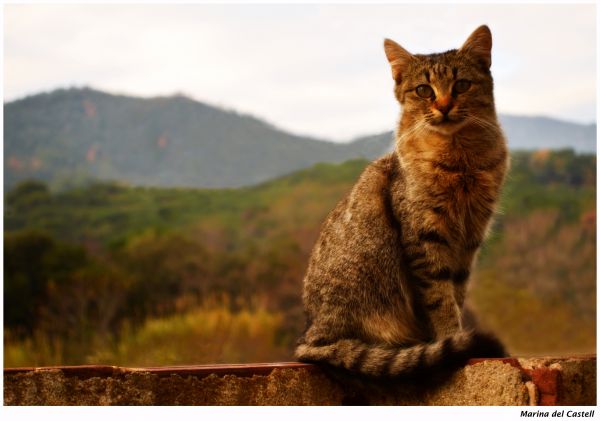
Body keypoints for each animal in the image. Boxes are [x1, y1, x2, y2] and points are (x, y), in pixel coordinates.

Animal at [292, 24, 508, 376]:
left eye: (461, 85)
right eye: (424, 90)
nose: (444, 105)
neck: (460, 159)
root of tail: (309, 339)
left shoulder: (469, 239)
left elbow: (456, 293)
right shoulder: (424, 236)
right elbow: (440, 299)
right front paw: (453, 338)